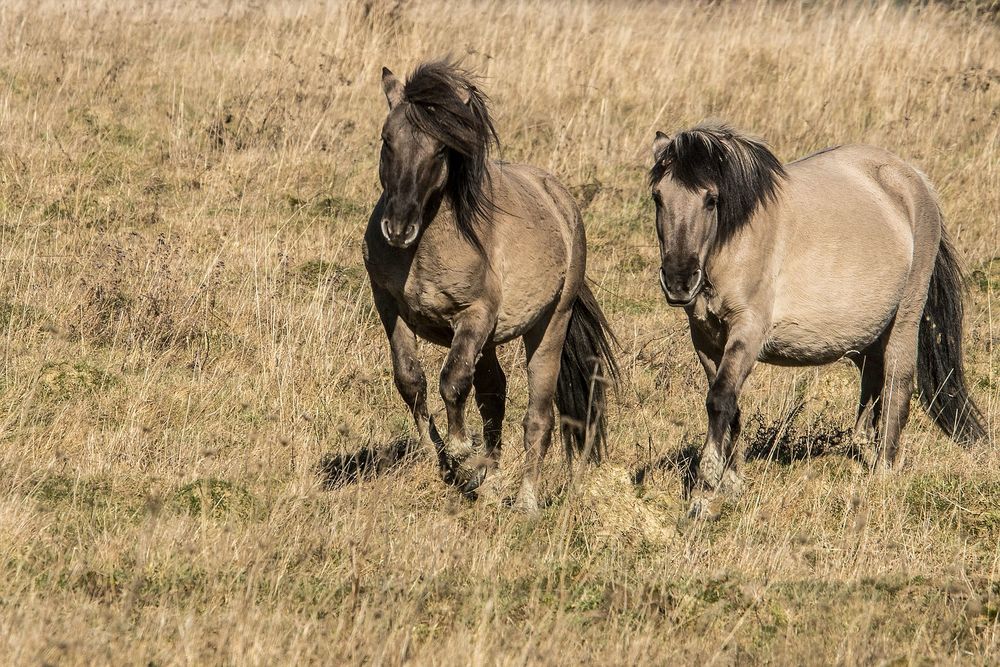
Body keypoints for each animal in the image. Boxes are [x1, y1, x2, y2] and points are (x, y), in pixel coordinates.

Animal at [366, 62, 616, 512]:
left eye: (441, 150)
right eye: (386, 139)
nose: (398, 227)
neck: (425, 248)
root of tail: (561, 201)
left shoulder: (474, 315)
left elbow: (452, 381)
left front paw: (461, 451)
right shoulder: (390, 306)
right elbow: (411, 381)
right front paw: (443, 458)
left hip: (548, 327)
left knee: (537, 417)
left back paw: (525, 502)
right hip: (491, 341)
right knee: (493, 396)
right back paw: (490, 481)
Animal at [648, 122, 984, 516]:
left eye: (711, 199)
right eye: (658, 197)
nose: (679, 281)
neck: (737, 239)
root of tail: (913, 178)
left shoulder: (748, 331)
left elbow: (720, 399)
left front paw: (704, 491)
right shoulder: (705, 339)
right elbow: (729, 405)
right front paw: (731, 483)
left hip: (905, 319)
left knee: (897, 387)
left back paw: (883, 474)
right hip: (869, 335)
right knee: (870, 396)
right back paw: (865, 456)